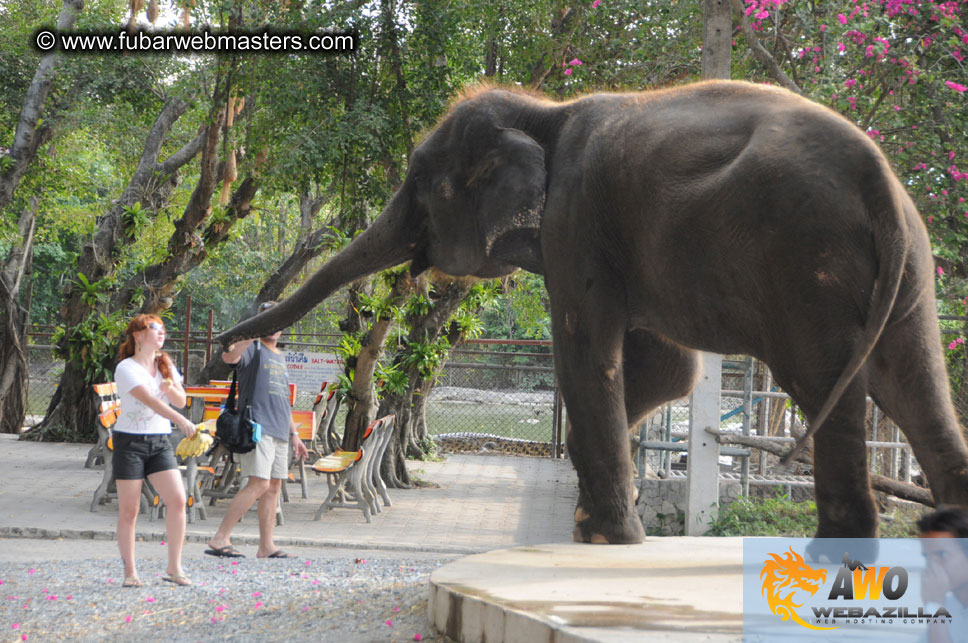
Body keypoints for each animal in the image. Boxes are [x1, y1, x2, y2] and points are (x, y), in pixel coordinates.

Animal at [219, 79, 968, 544]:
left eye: (424, 185)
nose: (223, 348)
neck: (544, 111)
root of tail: (879, 180)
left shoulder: (576, 224)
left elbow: (585, 353)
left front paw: (606, 535)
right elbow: (669, 369)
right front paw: (595, 514)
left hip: (809, 267)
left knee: (828, 386)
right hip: (906, 274)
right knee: (915, 385)